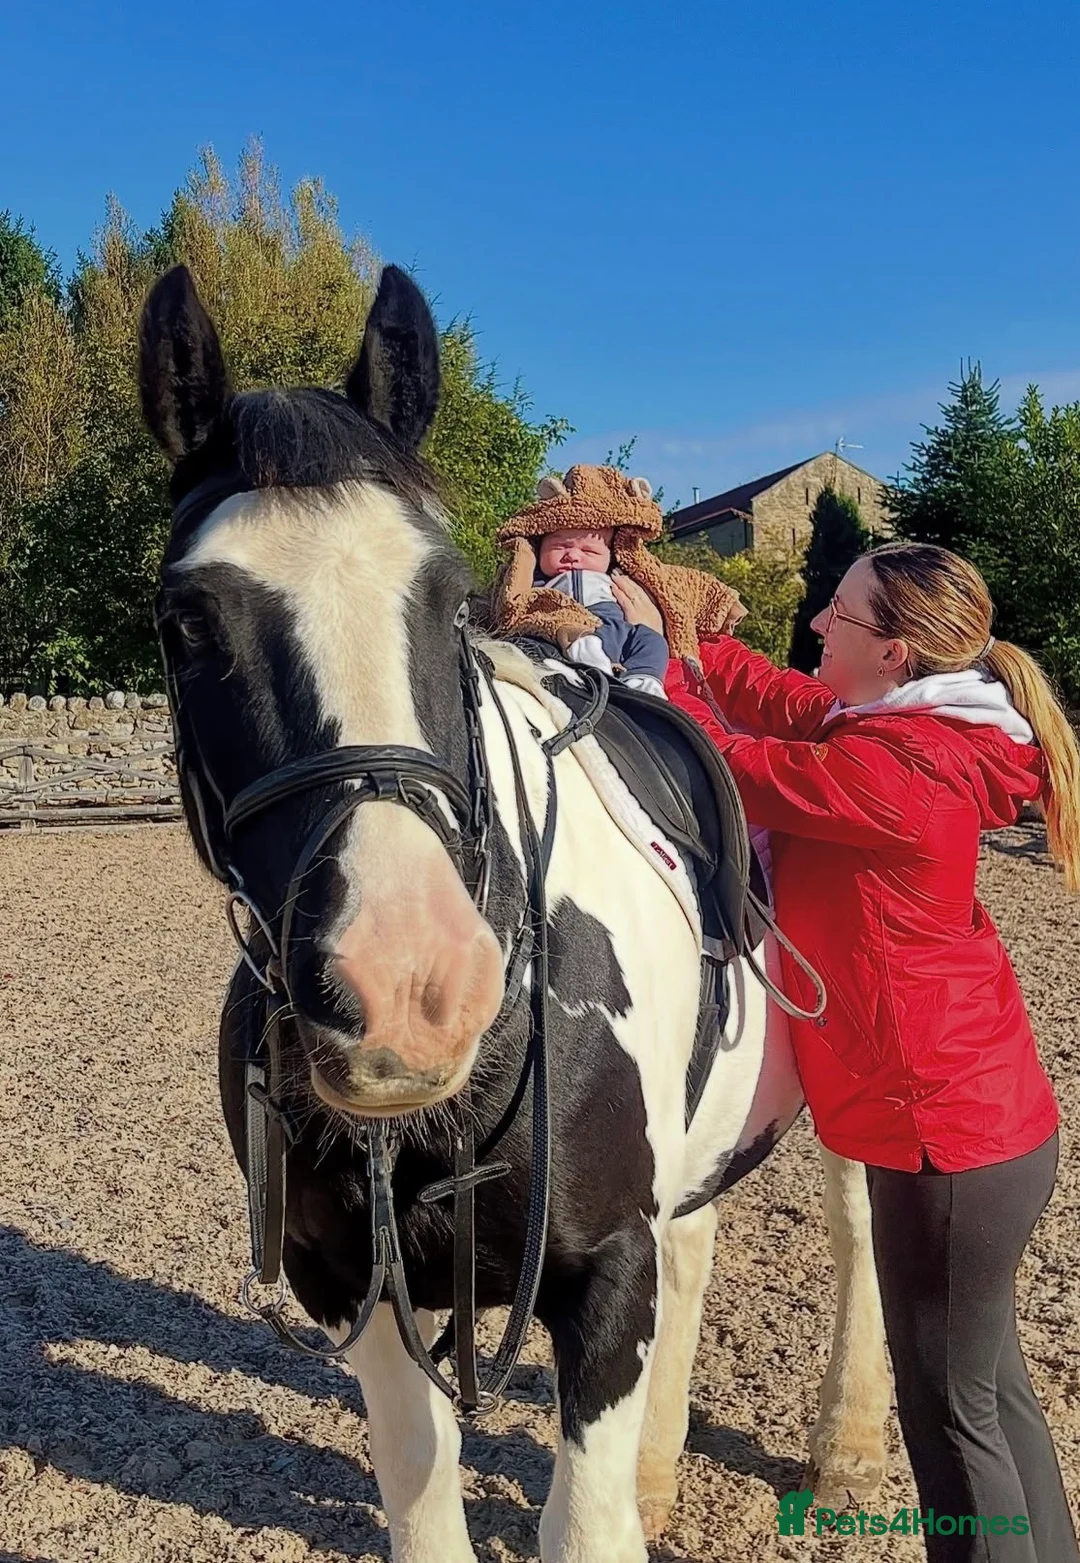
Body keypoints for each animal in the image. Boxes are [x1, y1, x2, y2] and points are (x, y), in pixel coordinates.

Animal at [137, 260, 890, 1563]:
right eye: (188, 625)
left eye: (446, 604)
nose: (406, 986)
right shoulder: (356, 1287)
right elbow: (423, 1498)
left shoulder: (603, 1279)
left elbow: (583, 1528)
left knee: (859, 1228)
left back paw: (845, 1446)